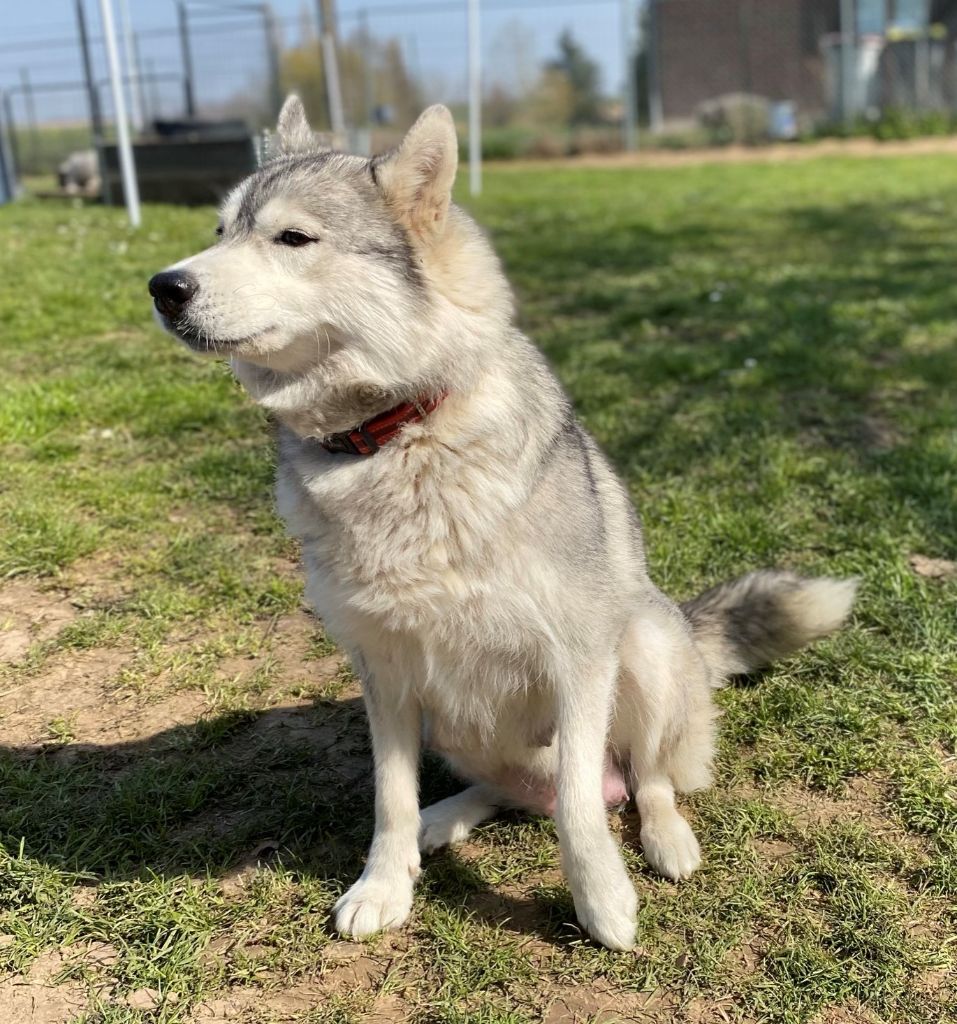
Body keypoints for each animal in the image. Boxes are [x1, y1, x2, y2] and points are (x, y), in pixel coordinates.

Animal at [151, 97, 859, 950]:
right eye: (220, 230)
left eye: (292, 238)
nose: (163, 287)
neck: (397, 434)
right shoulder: (383, 671)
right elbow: (388, 797)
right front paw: (383, 884)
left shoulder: (578, 657)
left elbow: (582, 808)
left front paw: (601, 901)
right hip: (452, 723)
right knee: (511, 791)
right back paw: (444, 819)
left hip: (646, 645)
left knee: (642, 780)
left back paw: (665, 838)